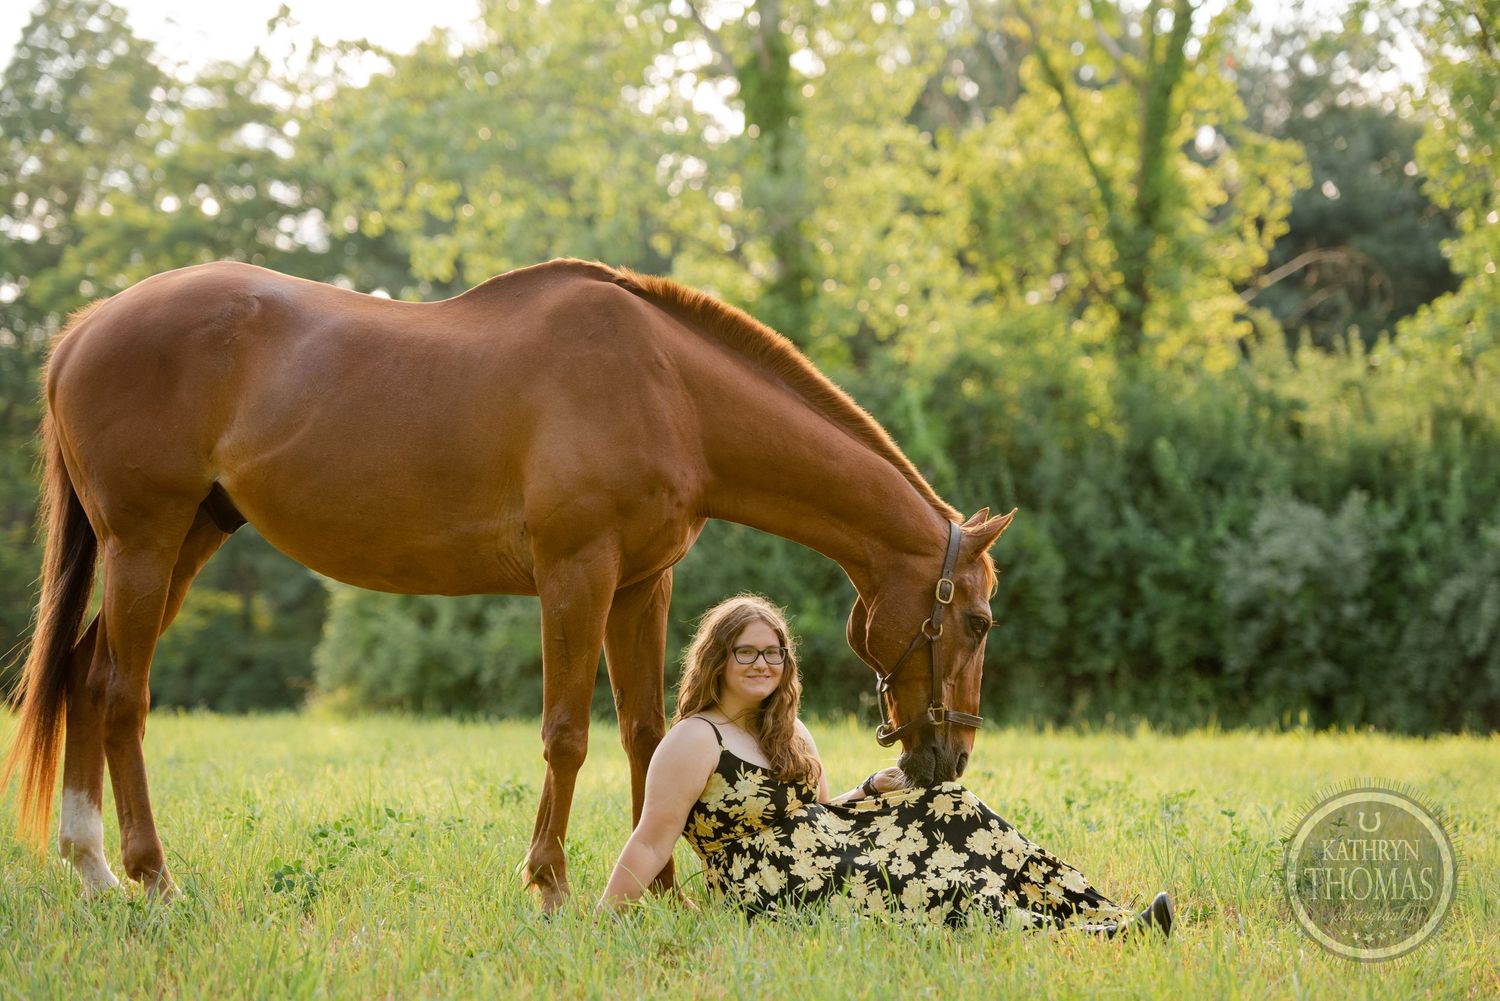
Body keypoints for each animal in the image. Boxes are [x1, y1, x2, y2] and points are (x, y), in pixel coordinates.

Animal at [2, 258, 1014, 908]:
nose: (948, 756)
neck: (667, 385)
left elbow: (648, 737)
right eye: (975, 621)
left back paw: (91, 867)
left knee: (88, 677)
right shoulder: (577, 574)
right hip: (144, 543)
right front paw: (551, 884)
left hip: (185, 540)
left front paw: (665, 890)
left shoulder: (641, 585)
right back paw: (152, 875)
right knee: (123, 695)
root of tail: (84, 330)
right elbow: (567, 733)